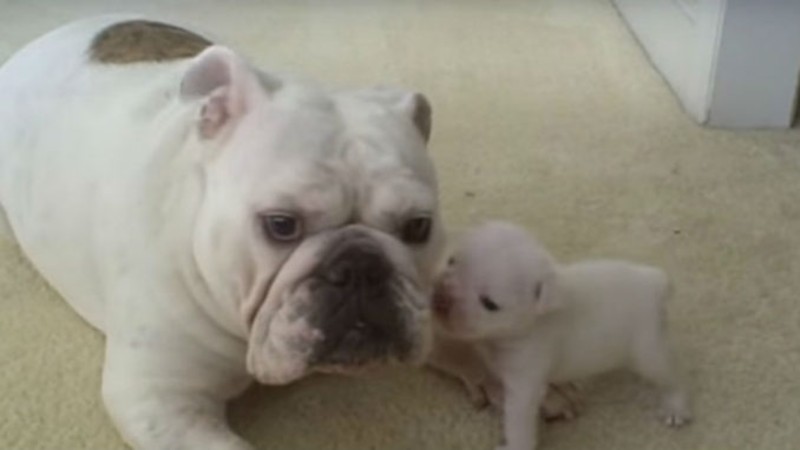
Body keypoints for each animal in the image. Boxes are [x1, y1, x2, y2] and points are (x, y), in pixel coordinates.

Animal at [431, 221, 692, 450]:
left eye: (489, 304)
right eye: (451, 260)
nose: (440, 300)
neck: (527, 323)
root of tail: (655, 284)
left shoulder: (525, 382)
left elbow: (518, 422)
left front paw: (514, 445)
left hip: (649, 352)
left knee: (672, 376)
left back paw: (676, 406)